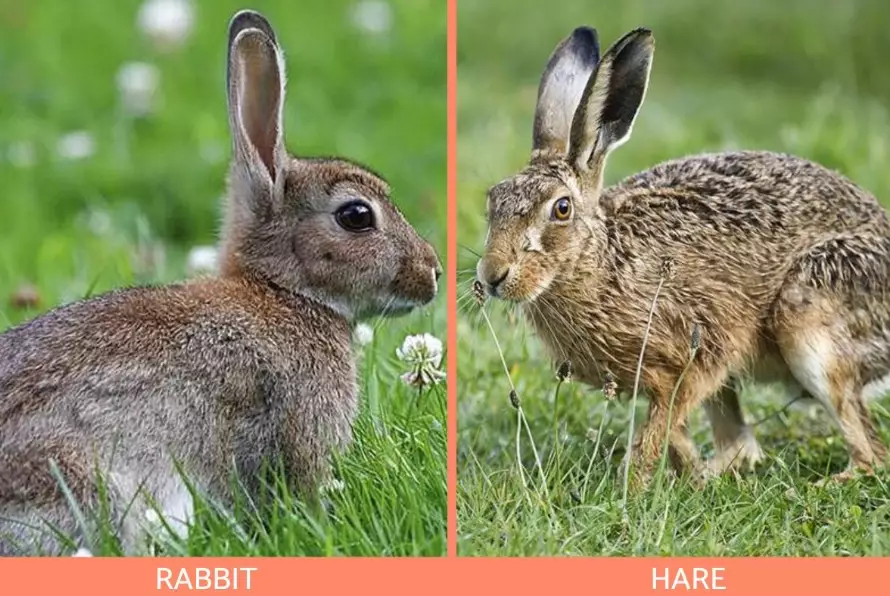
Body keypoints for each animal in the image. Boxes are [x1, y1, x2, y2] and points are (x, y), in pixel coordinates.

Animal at [475, 26, 890, 489]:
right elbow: (672, 431)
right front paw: (684, 476)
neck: (601, 262)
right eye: (493, 200)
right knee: (742, 445)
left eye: (561, 209)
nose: (493, 275)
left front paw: (634, 488)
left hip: (811, 318)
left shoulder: (701, 355)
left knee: (871, 453)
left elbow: (656, 431)